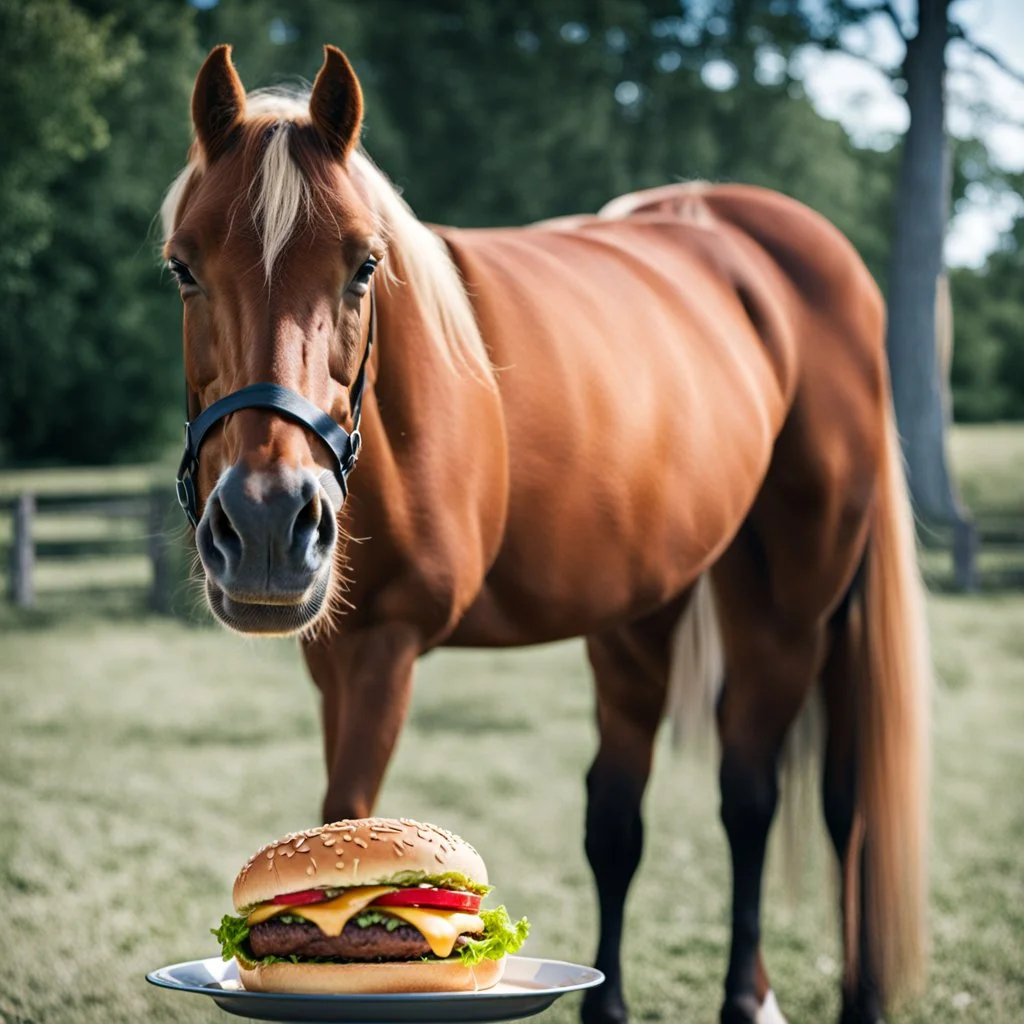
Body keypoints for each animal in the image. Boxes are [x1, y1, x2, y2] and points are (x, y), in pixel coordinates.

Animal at [161, 46, 937, 1024]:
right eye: (183, 268)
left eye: (364, 267)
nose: (267, 526)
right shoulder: (335, 654)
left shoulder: (383, 647)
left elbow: (351, 812)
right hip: (645, 610)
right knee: (620, 815)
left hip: (797, 606)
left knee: (776, 795)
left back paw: (784, 995)